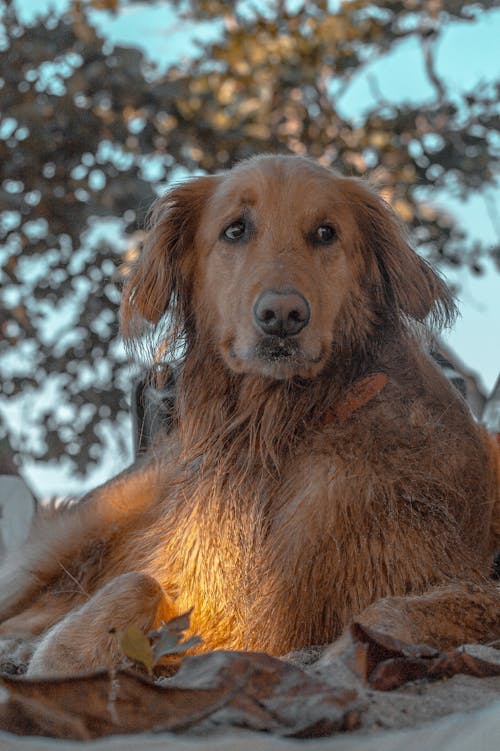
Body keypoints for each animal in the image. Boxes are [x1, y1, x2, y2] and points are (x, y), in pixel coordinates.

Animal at [0, 154, 498, 676]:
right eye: (235, 230)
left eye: (326, 233)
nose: (282, 315)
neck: (278, 427)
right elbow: (141, 583)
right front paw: (65, 653)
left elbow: (404, 610)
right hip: (71, 536)